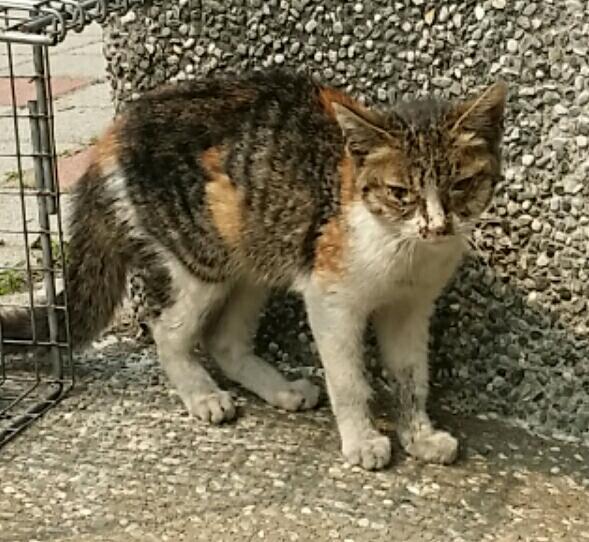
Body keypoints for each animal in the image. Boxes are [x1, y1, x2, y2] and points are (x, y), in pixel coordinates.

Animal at [0, 70, 506, 470]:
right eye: (401, 192)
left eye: (462, 184)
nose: (438, 225)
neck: (402, 248)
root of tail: (113, 134)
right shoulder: (331, 297)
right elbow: (348, 379)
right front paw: (362, 440)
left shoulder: (411, 308)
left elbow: (411, 376)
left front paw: (419, 435)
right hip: (200, 258)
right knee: (169, 330)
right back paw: (202, 394)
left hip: (253, 257)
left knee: (223, 340)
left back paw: (281, 391)